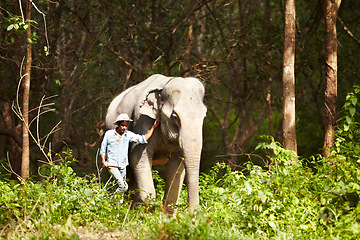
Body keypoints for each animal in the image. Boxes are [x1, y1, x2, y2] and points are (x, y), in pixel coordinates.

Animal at [105, 73, 205, 214]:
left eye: (204, 115)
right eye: (175, 116)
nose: (194, 214)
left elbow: (178, 164)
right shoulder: (142, 120)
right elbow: (138, 156)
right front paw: (147, 215)